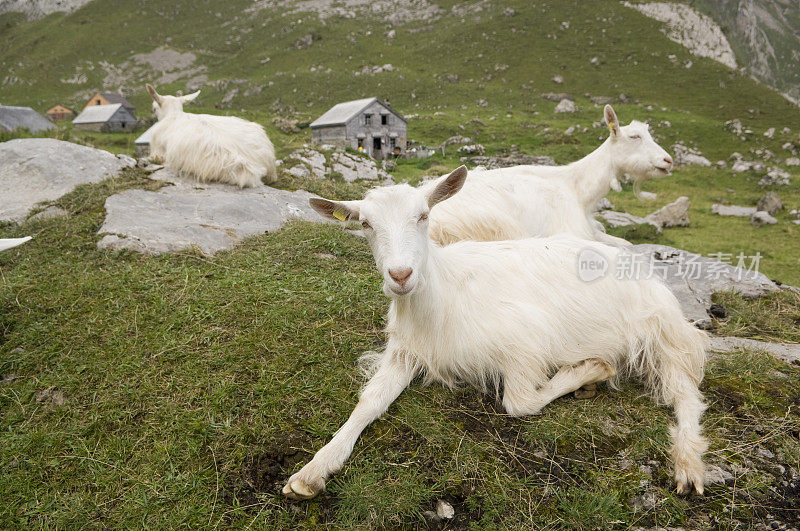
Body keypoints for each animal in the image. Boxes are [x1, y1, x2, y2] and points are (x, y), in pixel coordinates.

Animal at [286, 167, 708, 502]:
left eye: (423, 215)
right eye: (365, 224)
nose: (401, 275)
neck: (443, 297)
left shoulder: (526, 341)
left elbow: (519, 402)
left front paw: (589, 370)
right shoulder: (406, 353)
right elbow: (370, 401)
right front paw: (314, 469)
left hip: (661, 329)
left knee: (684, 392)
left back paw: (688, 464)